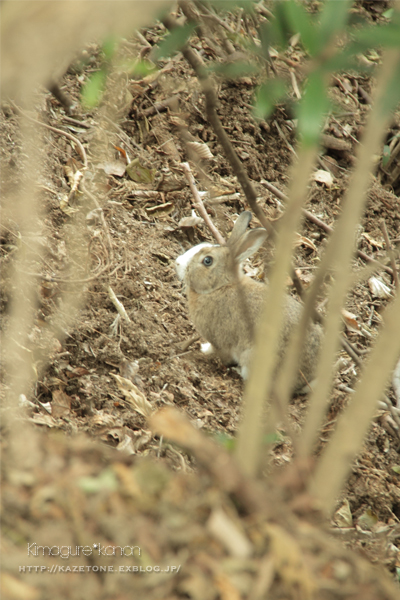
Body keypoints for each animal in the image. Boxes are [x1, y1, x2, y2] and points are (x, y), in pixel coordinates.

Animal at [175, 212, 322, 394]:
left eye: (207, 261)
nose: (177, 263)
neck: (220, 286)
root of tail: (307, 380)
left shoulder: (218, 340)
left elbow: (218, 350)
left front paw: (203, 350)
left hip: (254, 358)